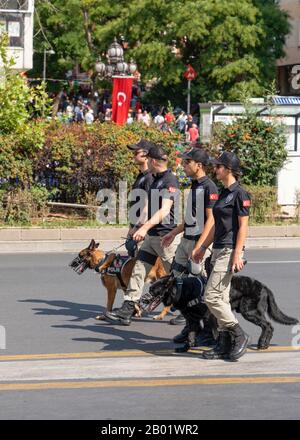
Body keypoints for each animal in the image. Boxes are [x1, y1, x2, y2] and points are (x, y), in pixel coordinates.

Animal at [146, 262, 298, 350]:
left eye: (153, 291)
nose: (144, 299)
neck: (182, 289)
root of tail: (264, 286)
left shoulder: (210, 317)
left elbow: (214, 333)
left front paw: (214, 347)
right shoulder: (192, 320)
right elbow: (190, 334)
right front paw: (186, 347)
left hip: (249, 311)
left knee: (268, 326)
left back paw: (262, 344)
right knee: (269, 326)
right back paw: (264, 344)